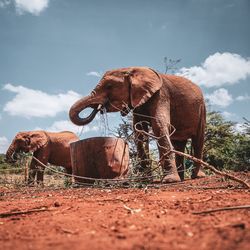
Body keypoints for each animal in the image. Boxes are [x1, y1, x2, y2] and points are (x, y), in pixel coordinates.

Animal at [68, 67, 205, 183]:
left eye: (109, 86)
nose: (99, 108)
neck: (132, 70)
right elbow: (139, 131)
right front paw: (145, 180)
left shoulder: (161, 95)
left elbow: (159, 125)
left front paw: (169, 181)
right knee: (179, 143)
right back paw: (181, 178)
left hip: (202, 109)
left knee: (198, 140)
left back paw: (196, 176)